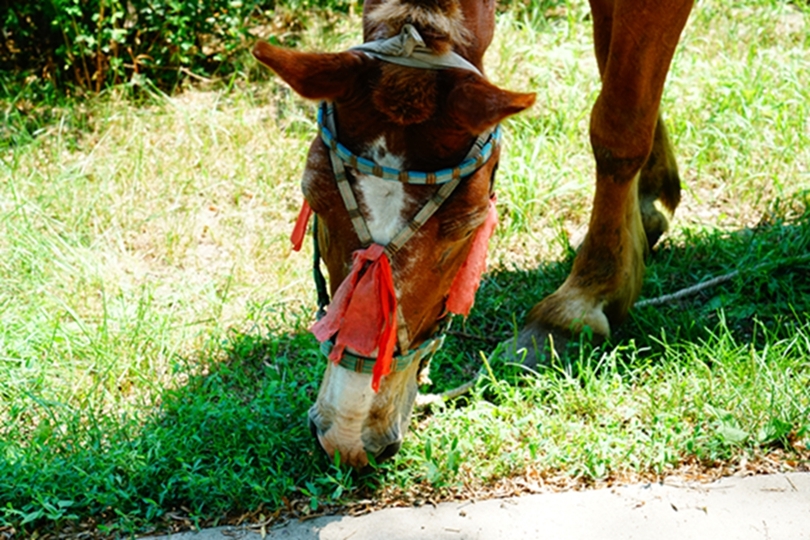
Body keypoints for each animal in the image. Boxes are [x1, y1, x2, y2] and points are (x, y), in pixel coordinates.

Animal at [254, 0, 696, 466]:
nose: (347, 433)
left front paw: (582, 301)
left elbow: (619, 126)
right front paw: (647, 206)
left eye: (464, 232)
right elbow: (610, 64)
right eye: (316, 201)